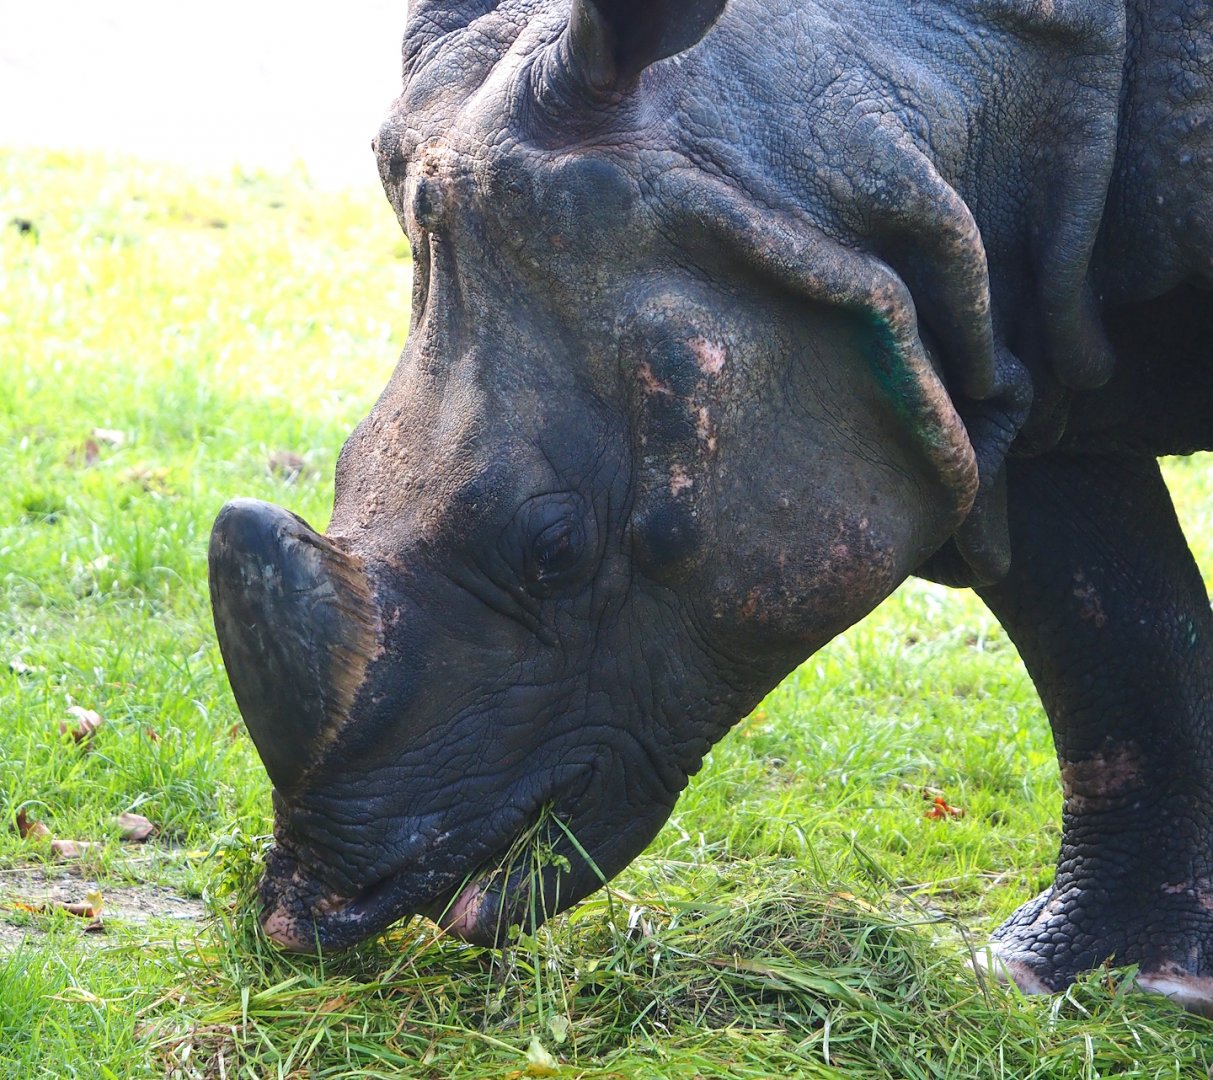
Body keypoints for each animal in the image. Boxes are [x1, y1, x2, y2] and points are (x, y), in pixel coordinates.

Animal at [208, 0, 1213, 1013]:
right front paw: (1083, 977)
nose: (306, 913)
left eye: (553, 549)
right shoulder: (981, 352)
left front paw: (1132, 986)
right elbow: (1107, 628)